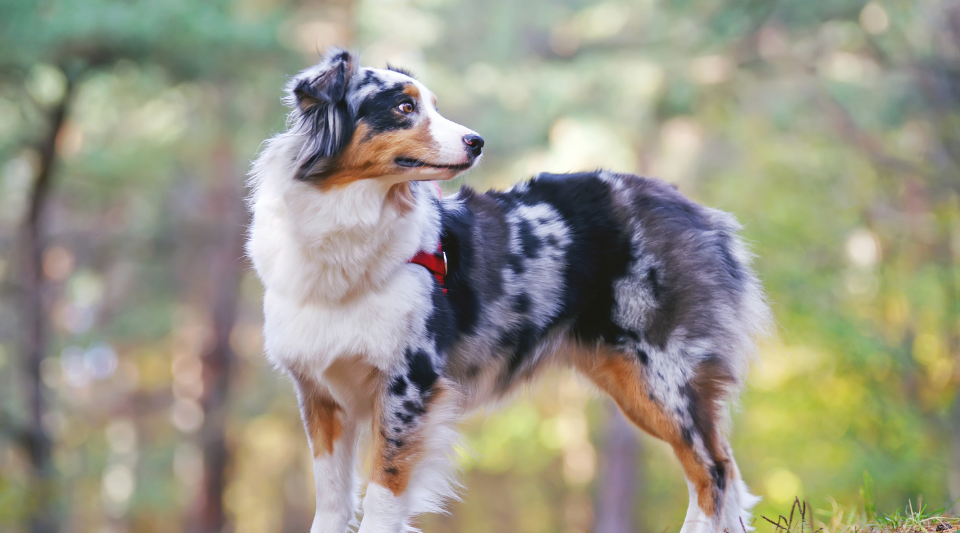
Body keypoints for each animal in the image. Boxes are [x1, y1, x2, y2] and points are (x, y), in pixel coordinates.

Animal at [246, 47, 772, 528]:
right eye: (404, 107)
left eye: (431, 105)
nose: (477, 141)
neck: (347, 224)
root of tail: (695, 210)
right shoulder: (320, 392)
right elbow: (332, 502)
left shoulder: (409, 386)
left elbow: (381, 499)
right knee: (722, 474)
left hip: (662, 375)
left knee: (713, 472)